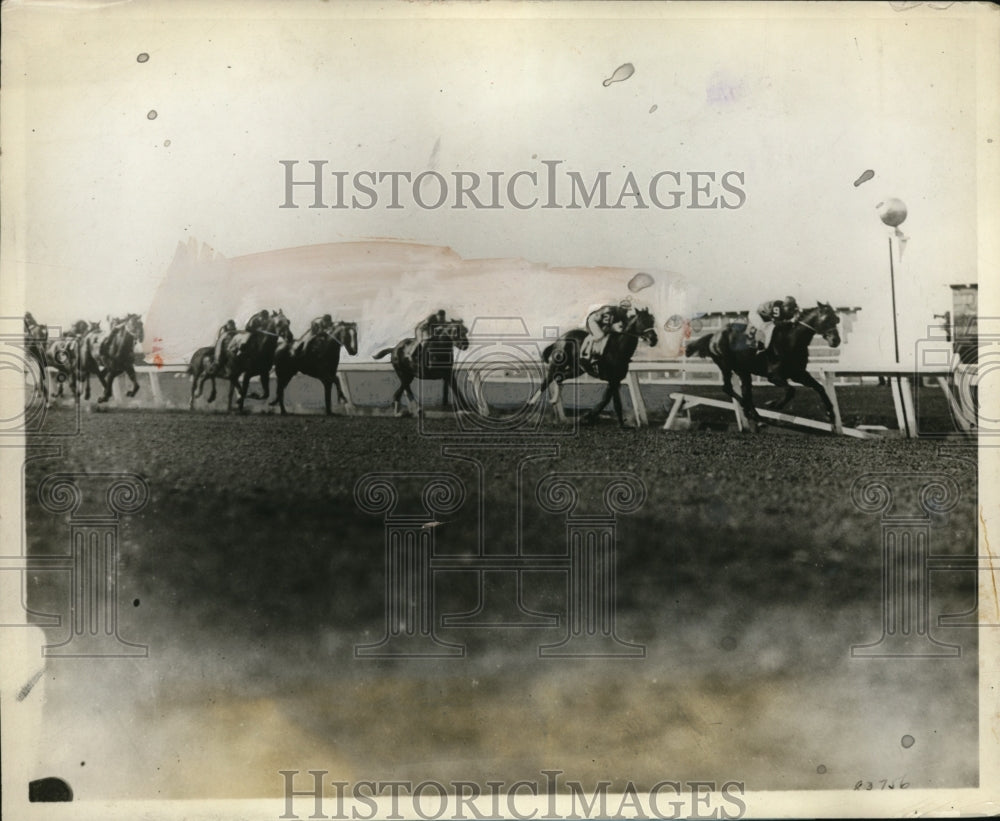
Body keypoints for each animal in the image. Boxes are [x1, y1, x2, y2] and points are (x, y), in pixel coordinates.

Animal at [528, 304, 660, 426]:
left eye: (652, 321)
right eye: (642, 322)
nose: (654, 340)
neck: (618, 349)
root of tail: (559, 339)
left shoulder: (616, 380)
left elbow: (606, 400)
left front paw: (589, 417)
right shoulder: (612, 379)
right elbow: (615, 403)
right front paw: (619, 424)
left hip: (576, 370)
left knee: (558, 378)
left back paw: (554, 401)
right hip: (557, 364)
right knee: (546, 382)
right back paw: (530, 404)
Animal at [684, 302, 840, 430]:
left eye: (836, 319)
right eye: (826, 319)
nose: (836, 340)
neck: (792, 340)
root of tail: (713, 336)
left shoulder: (799, 374)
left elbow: (819, 388)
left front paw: (831, 413)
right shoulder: (774, 376)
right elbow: (791, 390)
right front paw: (774, 404)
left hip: (743, 371)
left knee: (746, 391)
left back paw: (756, 417)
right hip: (725, 365)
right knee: (728, 388)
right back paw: (750, 412)